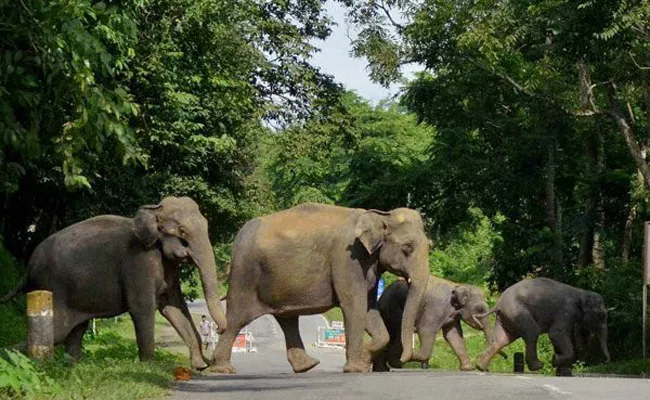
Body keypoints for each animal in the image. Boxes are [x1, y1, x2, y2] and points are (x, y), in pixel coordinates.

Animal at [0, 196, 227, 368]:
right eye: (182, 232)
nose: (219, 330)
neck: (153, 210)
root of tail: (28, 268)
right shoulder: (139, 262)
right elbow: (142, 308)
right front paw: (150, 367)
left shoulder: (167, 268)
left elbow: (174, 307)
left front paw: (200, 366)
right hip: (51, 289)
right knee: (58, 330)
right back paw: (12, 357)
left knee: (75, 331)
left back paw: (72, 365)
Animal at [209, 205, 430, 374]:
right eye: (407, 247)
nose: (403, 359)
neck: (381, 214)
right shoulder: (347, 259)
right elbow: (354, 305)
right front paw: (356, 368)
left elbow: (368, 307)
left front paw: (365, 358)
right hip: (245, 273)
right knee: (237, 318)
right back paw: (223, 370)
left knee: (287, 319)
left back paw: (307, 366)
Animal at [370, 276, 502, 370]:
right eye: (480, 310)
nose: (486, 369)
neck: (457, 285)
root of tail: (381, 297)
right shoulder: (434, 308)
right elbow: (425, 330)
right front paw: (413, 356)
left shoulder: (452, 315)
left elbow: (453, 335)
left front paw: (468, 369)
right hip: (393, 309)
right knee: (397, 333)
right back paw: (395, 363)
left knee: (389, 334)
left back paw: (384, 368)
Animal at [470, 276, 608, 370]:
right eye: (601, 315)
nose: (606, 361)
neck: (580, 292)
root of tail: (498, 304)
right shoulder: (566, 311)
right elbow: (556, 333)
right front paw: (554, 360)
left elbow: (558, 336)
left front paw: (558, 361)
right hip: (517, 312)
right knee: (532, 332)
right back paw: (538, 365)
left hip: (505, 318)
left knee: (502, 340)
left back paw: (481, 366)